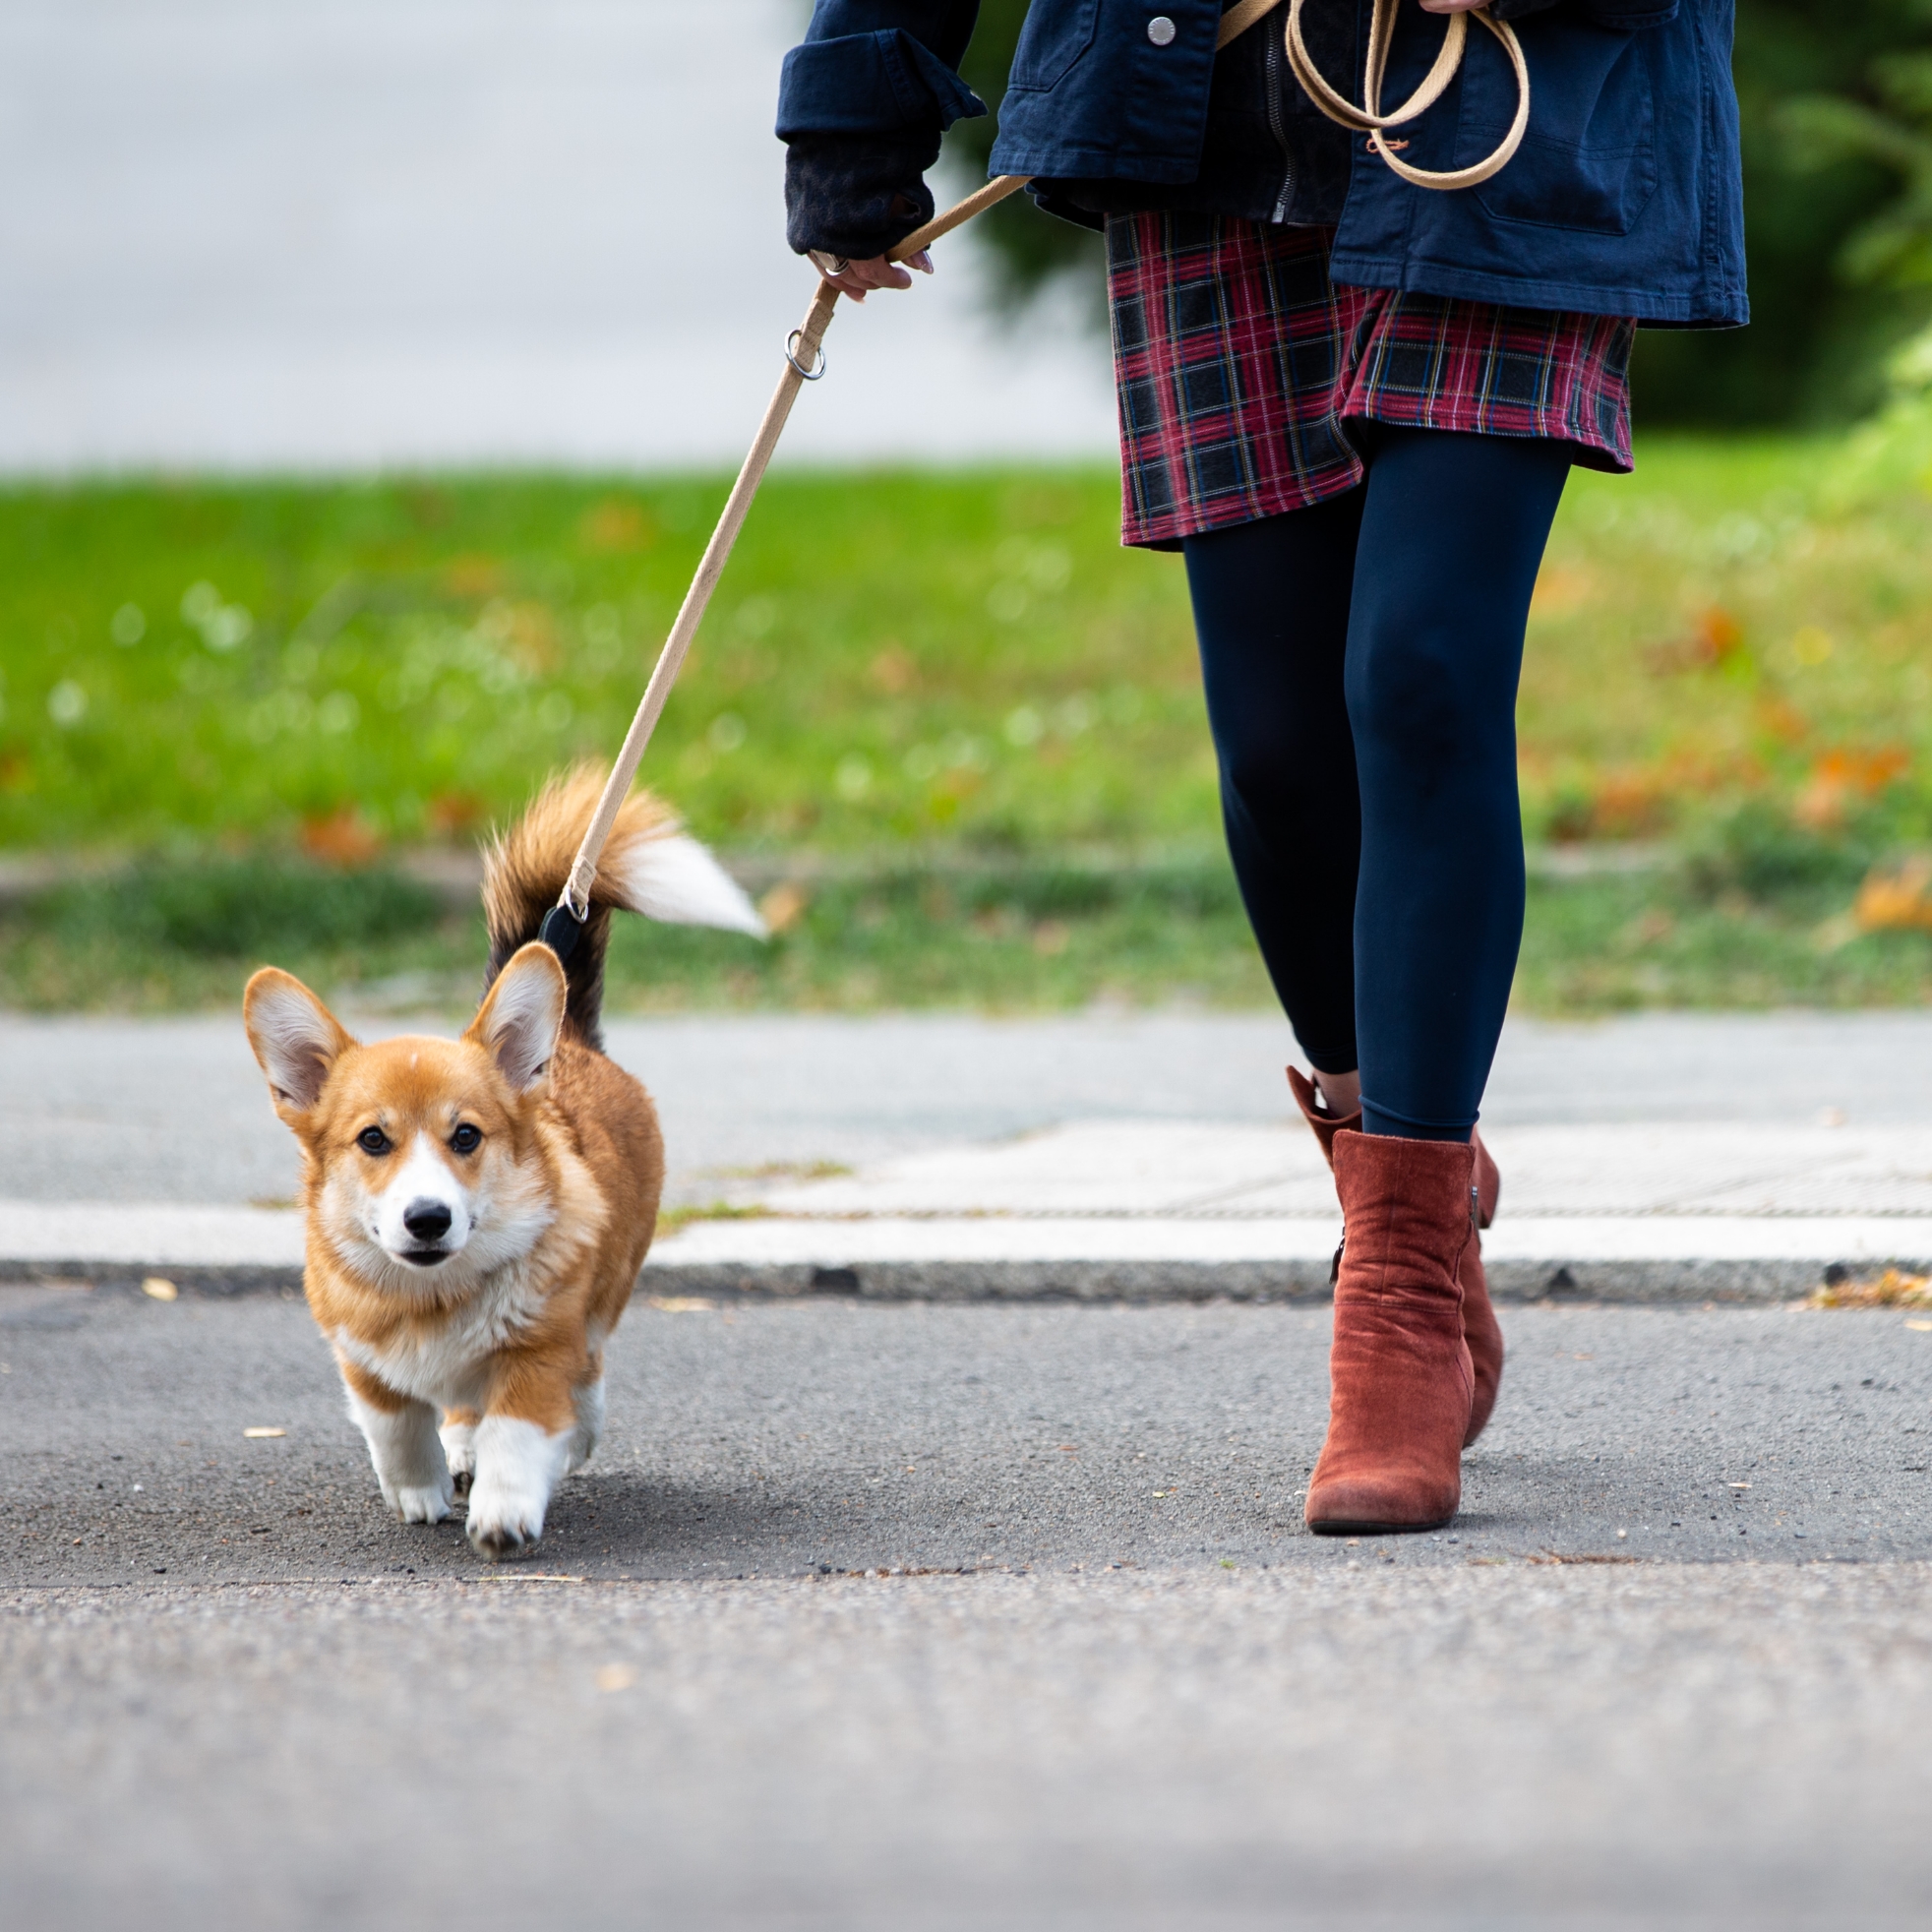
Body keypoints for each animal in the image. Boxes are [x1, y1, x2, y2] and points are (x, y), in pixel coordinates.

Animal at [237, 768, 756, 1553]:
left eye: (467, 1137)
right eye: (373, 1140)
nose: (427, 1219)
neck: (434, 1299)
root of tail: (570, 1037)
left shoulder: (537, 1352)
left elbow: (517, 1430)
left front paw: (504, 1512)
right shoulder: (363, 1361)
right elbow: (396, 1427)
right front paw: (419, 1492)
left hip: (607, 1290)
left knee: (588, 1370)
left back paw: (571, 1435)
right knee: (457, 1413)